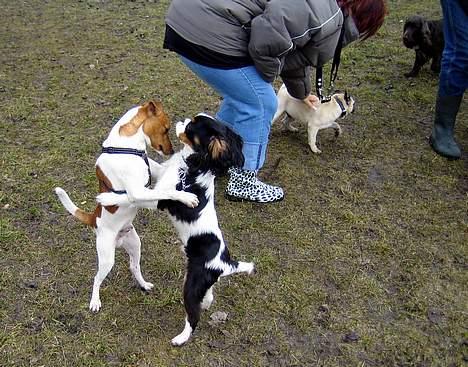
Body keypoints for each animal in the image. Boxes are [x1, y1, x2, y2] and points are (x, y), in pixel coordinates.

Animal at [54, 100, 197, 314]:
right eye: (166, 128)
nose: (171, 151)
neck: (127, 146)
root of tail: (94, 219)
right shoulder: (137, 192)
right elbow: (167, 192)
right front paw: (186, 197)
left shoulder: (155, 172)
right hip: (107, 258)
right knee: (96, 279)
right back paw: (95, 301)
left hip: (135, 245)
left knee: (133, 267)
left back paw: (143, 284)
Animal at [96, 113, 254, 346]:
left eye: (191, 128)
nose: (183, 120)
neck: (192, 166)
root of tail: (226, 264)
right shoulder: (162, 173)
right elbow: (150, 166)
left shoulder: (161, 200)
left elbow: (133, 196)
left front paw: (107, 198)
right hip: (203, 285)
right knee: (209, 297)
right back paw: (206, 304)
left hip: (191, 287)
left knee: (193, 318)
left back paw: (180, 339)